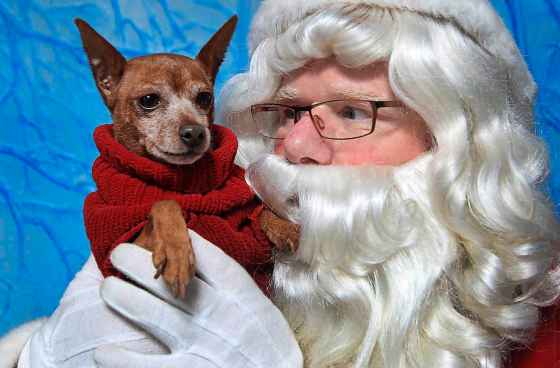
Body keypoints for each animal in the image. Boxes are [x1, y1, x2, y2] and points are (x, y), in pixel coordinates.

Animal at [75, 18, 237, 300]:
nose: (196, 132)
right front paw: (176, 251)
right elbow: (164, 202)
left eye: (204, 98)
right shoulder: (125, 253)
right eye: (149, 100)